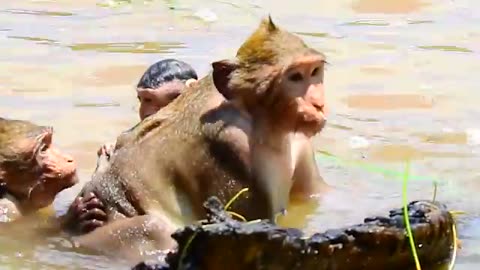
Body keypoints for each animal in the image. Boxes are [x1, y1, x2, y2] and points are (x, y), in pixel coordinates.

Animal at [62, 16, 328, 264]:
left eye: (314, 72)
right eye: (295, 77)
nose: (317, 104)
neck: (261, 118)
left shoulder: (300, 141)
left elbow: (313, 197)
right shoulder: (229, 147)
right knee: (153, 229)